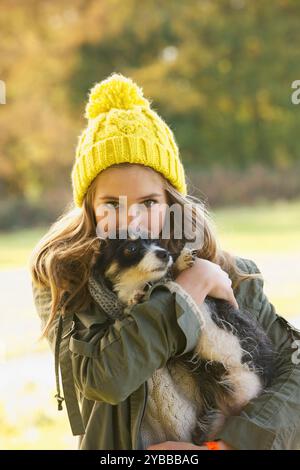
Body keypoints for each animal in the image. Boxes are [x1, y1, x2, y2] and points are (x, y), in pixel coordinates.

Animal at [92, 229, 276, 446]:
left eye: (155, 242)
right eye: (130, 248)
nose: (164, 254)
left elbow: (168, 277)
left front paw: (180, 262)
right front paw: (136, 296)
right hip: (213, 420)